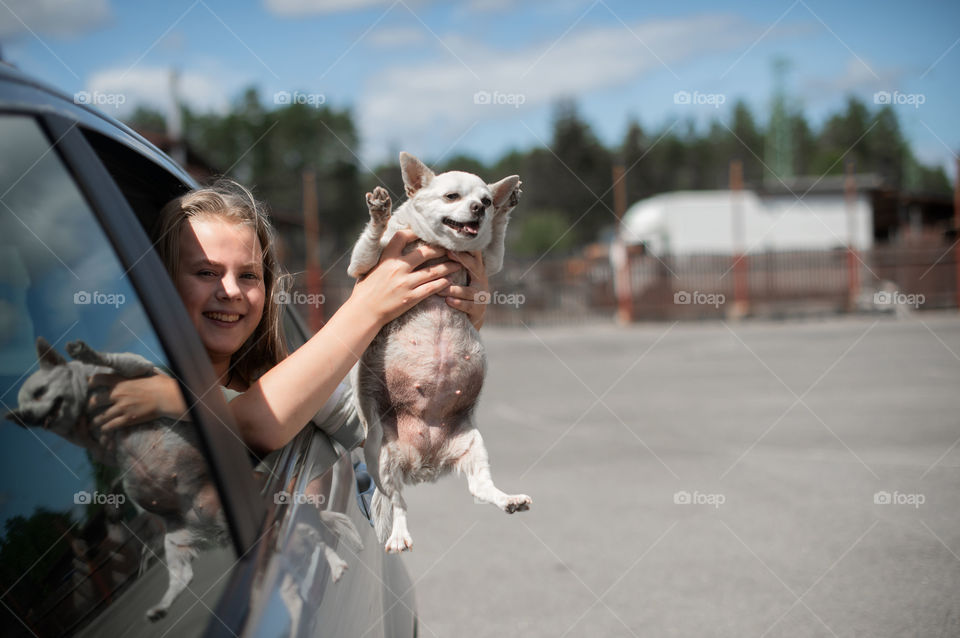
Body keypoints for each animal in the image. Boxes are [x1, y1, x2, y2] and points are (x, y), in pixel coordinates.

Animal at [346, 152, 528, 552]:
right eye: (451, 196)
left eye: (485, 200)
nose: (479, 208)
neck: (444, 249)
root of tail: (424, 465)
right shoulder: (363, 267)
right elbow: (369, 245)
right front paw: (378, 213)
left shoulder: (488, 263)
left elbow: (496, 243)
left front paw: (506, 208)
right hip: (382, 455)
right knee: (398, 503)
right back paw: (399, 535)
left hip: (473, 446)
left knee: (480, 488)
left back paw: (509, 499)